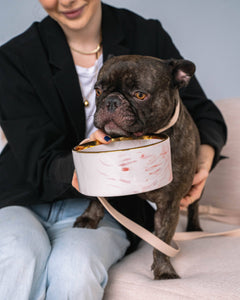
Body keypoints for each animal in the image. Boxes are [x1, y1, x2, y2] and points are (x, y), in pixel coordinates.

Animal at [74, 55, 202, 280]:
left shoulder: (169, 204)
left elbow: (162, 241)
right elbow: (96, 199)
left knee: (195, 205)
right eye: (98, 91)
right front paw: (89, 218)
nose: (112, 101)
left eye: (140, 95)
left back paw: (195, 227)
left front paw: (164, 271)